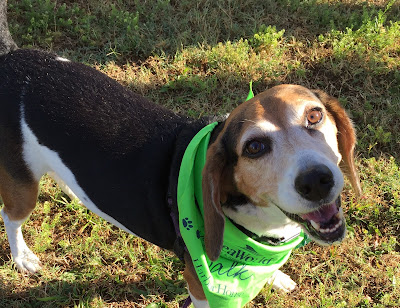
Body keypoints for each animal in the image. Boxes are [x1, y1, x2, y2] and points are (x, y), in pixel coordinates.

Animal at [0, 4, 360, 308]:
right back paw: (22, 258)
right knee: (10, 216)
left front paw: (278, 278)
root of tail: (11, 58)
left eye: (314, 116)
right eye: (254, 148)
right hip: (22, 188)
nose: (316, 181)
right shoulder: (200, 287)